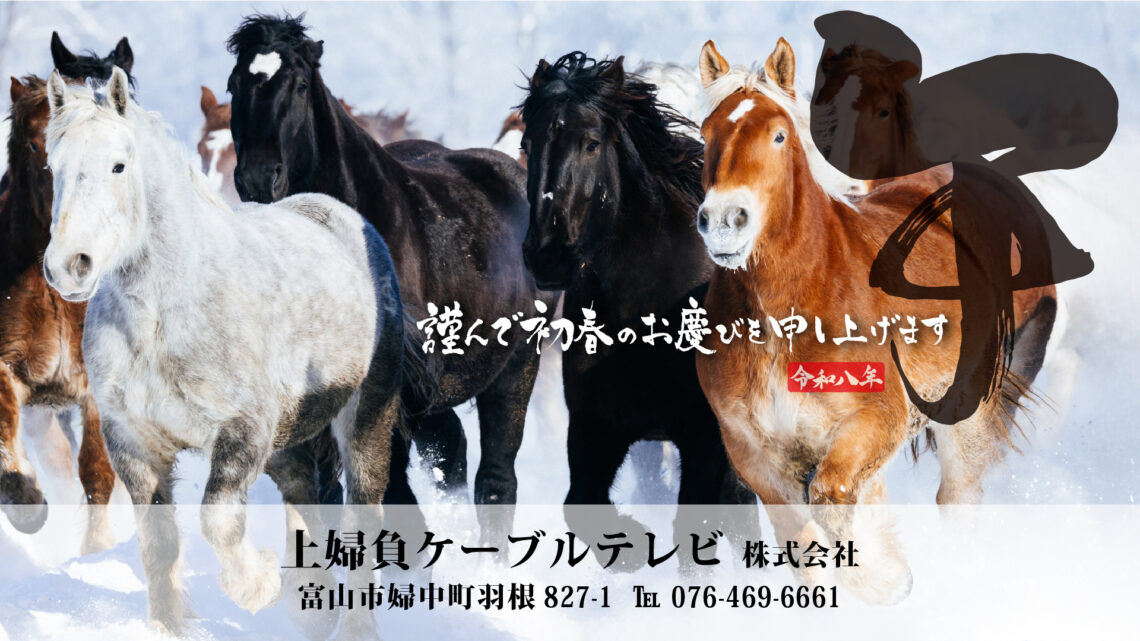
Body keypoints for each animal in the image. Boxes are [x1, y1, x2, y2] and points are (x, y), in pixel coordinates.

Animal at [42, 67, 416, 635]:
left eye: (118, 164)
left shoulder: (242, 429)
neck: (164, 316)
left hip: (365, 417)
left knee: (363, 516)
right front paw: (169, 626)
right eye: (53, 166)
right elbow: (159, 546)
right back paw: (310, 605)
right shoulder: (133, 441)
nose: (70, 266)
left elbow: (217, 520)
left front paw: (256, 587)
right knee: (302, 491)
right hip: (287, 439)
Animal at [225, 14, 556, 541]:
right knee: (450, 456)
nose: (258, 178)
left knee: (496, 478)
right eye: (235, 84)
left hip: (517, 366)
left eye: (299, 85)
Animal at [519, 52, 756, 564]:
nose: (547, 254)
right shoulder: (596, 426)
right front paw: (627, 546)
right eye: (528, 143)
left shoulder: (704, 436)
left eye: (591, 143)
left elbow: (696, 530)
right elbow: (581, 504)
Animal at [693, 39, 1058, 603]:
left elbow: (833, 497)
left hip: (971, 414)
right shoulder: (754, 453)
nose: (724, 222)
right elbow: (804, 543)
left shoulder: (877, 419)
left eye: (778, 135)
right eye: (706, 132)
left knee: (959, 499)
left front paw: (889, 581)